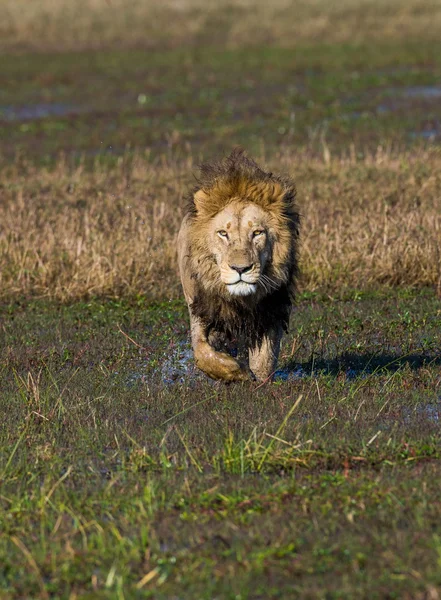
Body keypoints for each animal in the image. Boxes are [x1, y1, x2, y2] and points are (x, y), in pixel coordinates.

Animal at [176, 148, 300, 382]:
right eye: (223, 233)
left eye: (257, 233)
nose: (241, 269)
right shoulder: (201, 308)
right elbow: (202, 353)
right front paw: (238, 372)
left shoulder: (271, 310)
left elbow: (264, 361)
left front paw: (258, 381)